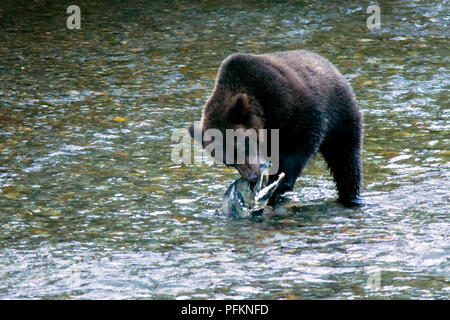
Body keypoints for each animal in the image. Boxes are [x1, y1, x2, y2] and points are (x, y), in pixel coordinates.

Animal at [189, 48, 362, 206]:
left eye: (243, 146)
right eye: (228, 162)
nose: (252, 178)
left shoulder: (287, 102)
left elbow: (303, 138)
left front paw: (282, 180)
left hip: (341, 115)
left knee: (345, 158)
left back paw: (351, 195)